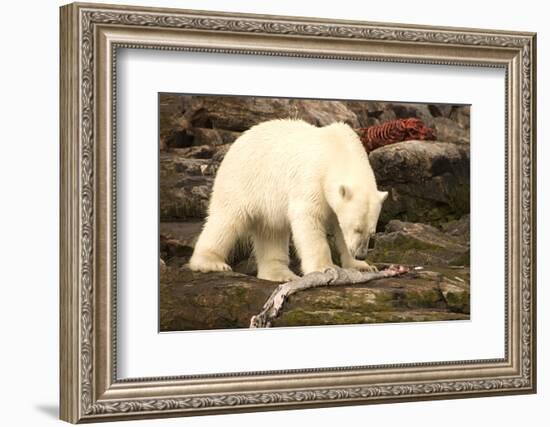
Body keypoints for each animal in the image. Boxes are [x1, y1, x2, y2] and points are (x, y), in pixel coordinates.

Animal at [192, 118, 390, 282]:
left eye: (372, 232)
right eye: (357, 229)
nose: (361, 254)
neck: (337, 149)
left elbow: (339, 228)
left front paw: (362, 266)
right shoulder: (311, 179)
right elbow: (308, 219)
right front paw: (324, 268)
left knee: (271, 232)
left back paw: (281, 274)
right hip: (243, 181)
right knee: (227, 220)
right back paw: (210, 263)